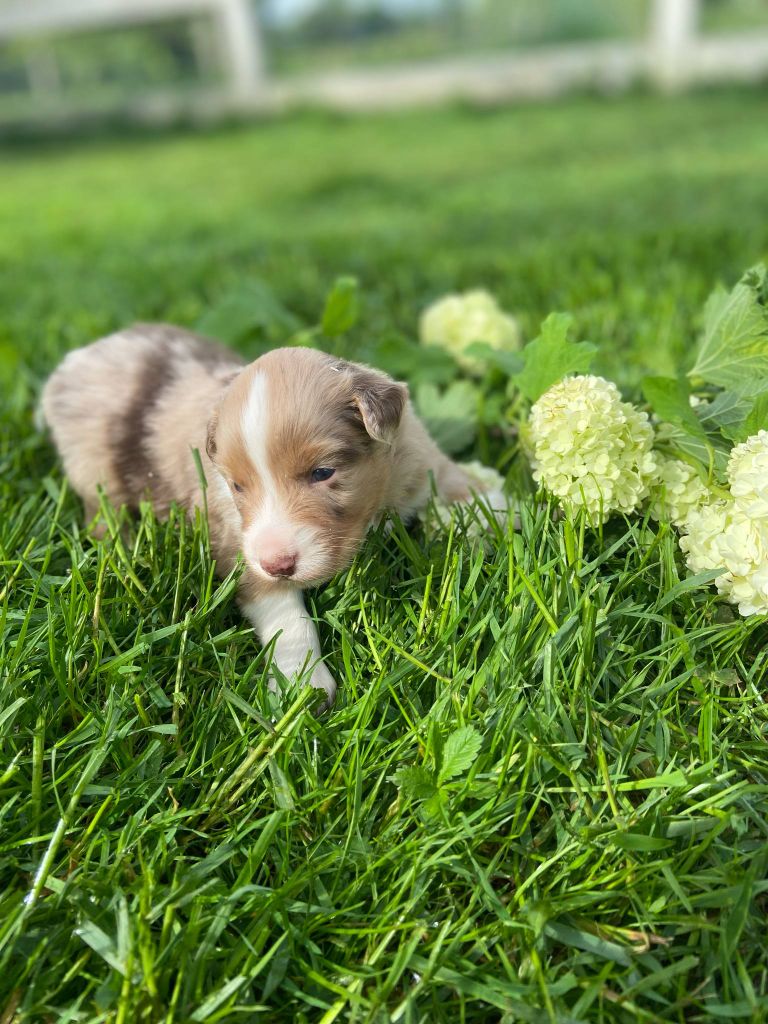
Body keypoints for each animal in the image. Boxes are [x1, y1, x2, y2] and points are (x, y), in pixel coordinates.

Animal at [42, 323, 507, 707]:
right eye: (237, 486)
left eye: (323, 472)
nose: (278, 563)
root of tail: (73, 360)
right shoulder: (237, 543)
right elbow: (284, 614)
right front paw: (303, 684)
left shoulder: (414, 456)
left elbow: (450, 477)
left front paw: (494, 510)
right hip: (92, 470)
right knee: (102, 514)